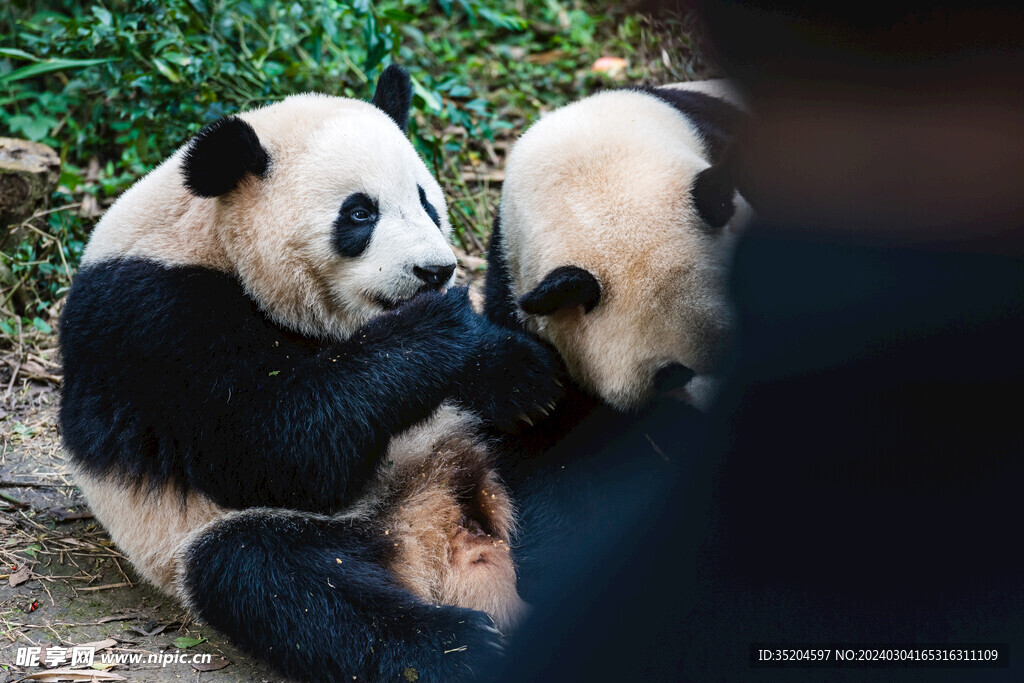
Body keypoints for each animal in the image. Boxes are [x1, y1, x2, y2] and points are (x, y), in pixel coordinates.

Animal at [58, 65, 565, 683]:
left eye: (426, 202)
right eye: (359, 213)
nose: (435, 270)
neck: (212, 236)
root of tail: (433, 538)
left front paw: (520, 375)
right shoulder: (154, 317)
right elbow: (271, 445)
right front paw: (441, 322)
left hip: (481, 456)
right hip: (250, 533)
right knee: (281, 579)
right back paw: (457, 646)